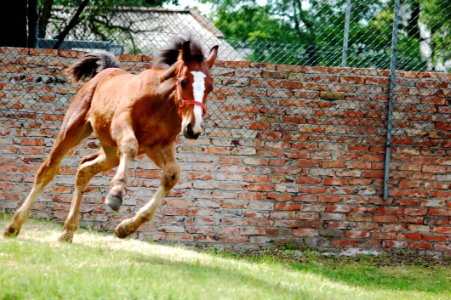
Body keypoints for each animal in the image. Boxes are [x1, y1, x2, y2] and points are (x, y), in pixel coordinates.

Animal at [3, 38, 219, 243]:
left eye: (210, 87)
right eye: (183, 82)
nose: (193, 128)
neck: (160, 102)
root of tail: (105, 72)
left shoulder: (158, 145)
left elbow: (172, 174)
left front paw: (126, 227)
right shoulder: (122, 125)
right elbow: (130, 147)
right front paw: (115, 195)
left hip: (111, 152)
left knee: (84, 169)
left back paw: (67, 231)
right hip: (73, 131)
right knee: (48, 170)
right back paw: (13, 226)